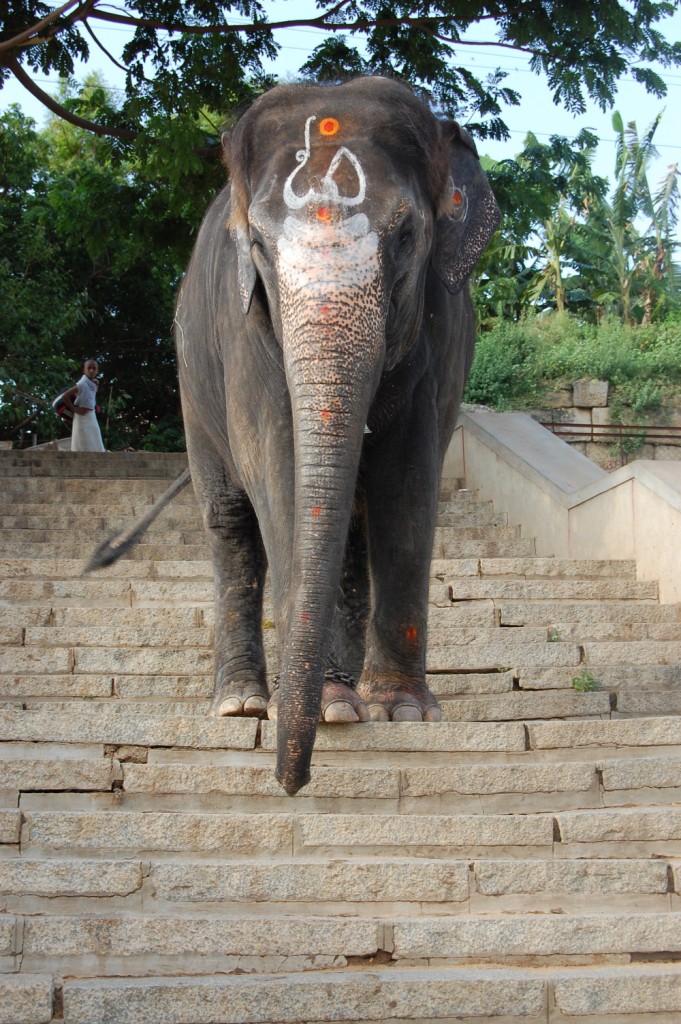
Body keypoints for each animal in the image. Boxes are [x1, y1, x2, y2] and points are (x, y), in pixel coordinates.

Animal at [169, 77, 497, 798]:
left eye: (405, 235)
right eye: (259, 247)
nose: (291, 784)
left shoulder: (436, 337)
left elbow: (408, 484)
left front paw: (401, 712)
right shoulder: (244, 327)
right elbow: (276, 466)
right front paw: (315, 707)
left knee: (352, 527)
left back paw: (346, 704)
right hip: (190, 384)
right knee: (230, 522)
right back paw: (245, 704)